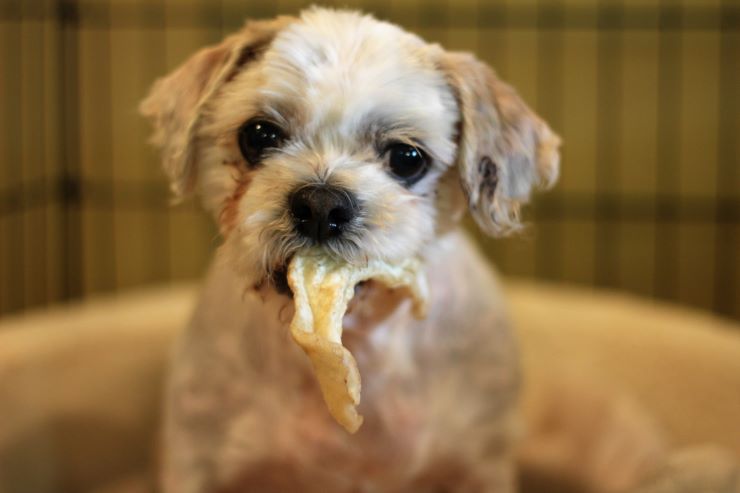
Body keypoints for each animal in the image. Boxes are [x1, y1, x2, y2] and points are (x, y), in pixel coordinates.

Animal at [140, 7, 740, 492]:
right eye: (258, 135)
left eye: (408, 158)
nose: (320, 203)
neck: (360, 346)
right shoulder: (199, 459)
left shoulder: (477, 464)